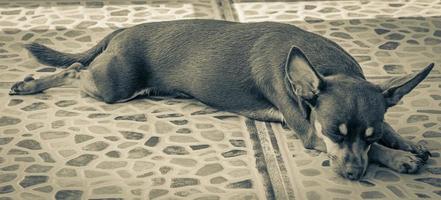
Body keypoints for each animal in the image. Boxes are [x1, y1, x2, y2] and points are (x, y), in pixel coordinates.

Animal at [8, 19, 432, 180]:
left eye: (369, 135)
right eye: (334, 134)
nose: (353, 175)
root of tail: (122, 30)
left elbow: (391, 130)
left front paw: (407, 143)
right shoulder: (311, 134)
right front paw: (399, 159)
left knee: (78, 66)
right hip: (111, 87)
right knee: (75, 69)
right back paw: (30, 84)